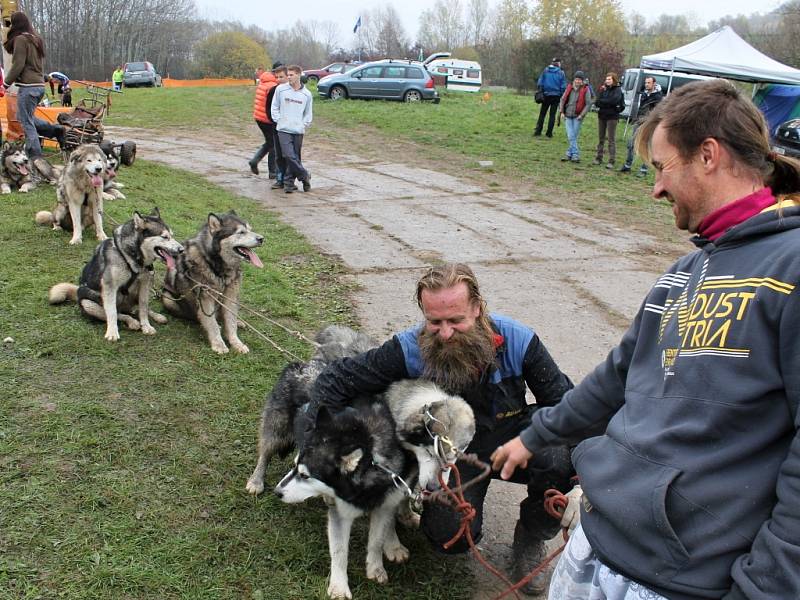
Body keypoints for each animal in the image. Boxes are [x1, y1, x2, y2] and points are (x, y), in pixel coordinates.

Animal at [48, 210, 184, 342]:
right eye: (165, 237)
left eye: (172, 235)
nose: (181, 249)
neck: (131, 258)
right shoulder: (110, 287)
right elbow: (112, 313)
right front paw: (112, 332)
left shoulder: (145, 283)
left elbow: (144, 307)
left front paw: (146, 326)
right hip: (89, 303)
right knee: (118, 314)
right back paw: (131, 321)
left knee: (137, 309)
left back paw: (156, 316)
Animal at [161, 211, 264, 354]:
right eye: (241, 232)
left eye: (250, 229)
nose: (262, 239)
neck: (218, 267)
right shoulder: (205, 298)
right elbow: (212, 324)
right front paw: (218, 344)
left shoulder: (231, 296)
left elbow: (231, 322)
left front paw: (236, 343)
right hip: (168, 298)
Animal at [245, 326, 476, 596]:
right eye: (433, 452)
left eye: (456, 458)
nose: (435, 488)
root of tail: (301, 364)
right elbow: (341, 551)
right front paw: (340, 585)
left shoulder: (397, 487)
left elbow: (382, 530)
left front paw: (388, 547)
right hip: (277, 430)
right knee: (265, 452)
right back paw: (257, 481)